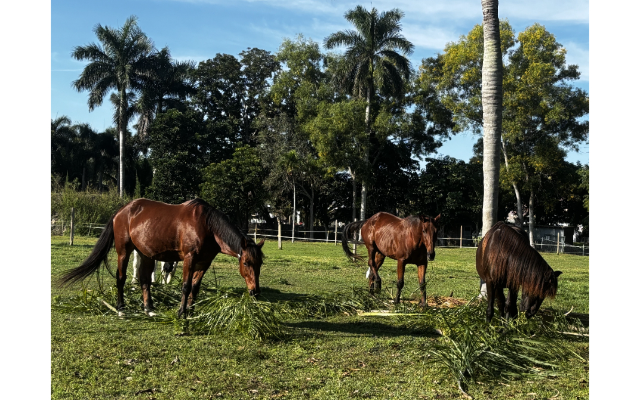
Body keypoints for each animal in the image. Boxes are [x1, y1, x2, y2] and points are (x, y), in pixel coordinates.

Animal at [59, 198, 265, 318]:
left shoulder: (204, 263)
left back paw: (148, 308)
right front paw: (181, 312)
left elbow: (195, 288)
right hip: (124, 251)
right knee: (121, 278)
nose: (255, 292)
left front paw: (192, 310)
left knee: (144, 280)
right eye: (246, 262)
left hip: (145, 254)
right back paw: (120, 308)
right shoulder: (189, 259)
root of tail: (122, 210)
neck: (208, 226)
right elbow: (186, 286)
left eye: (260, 264)